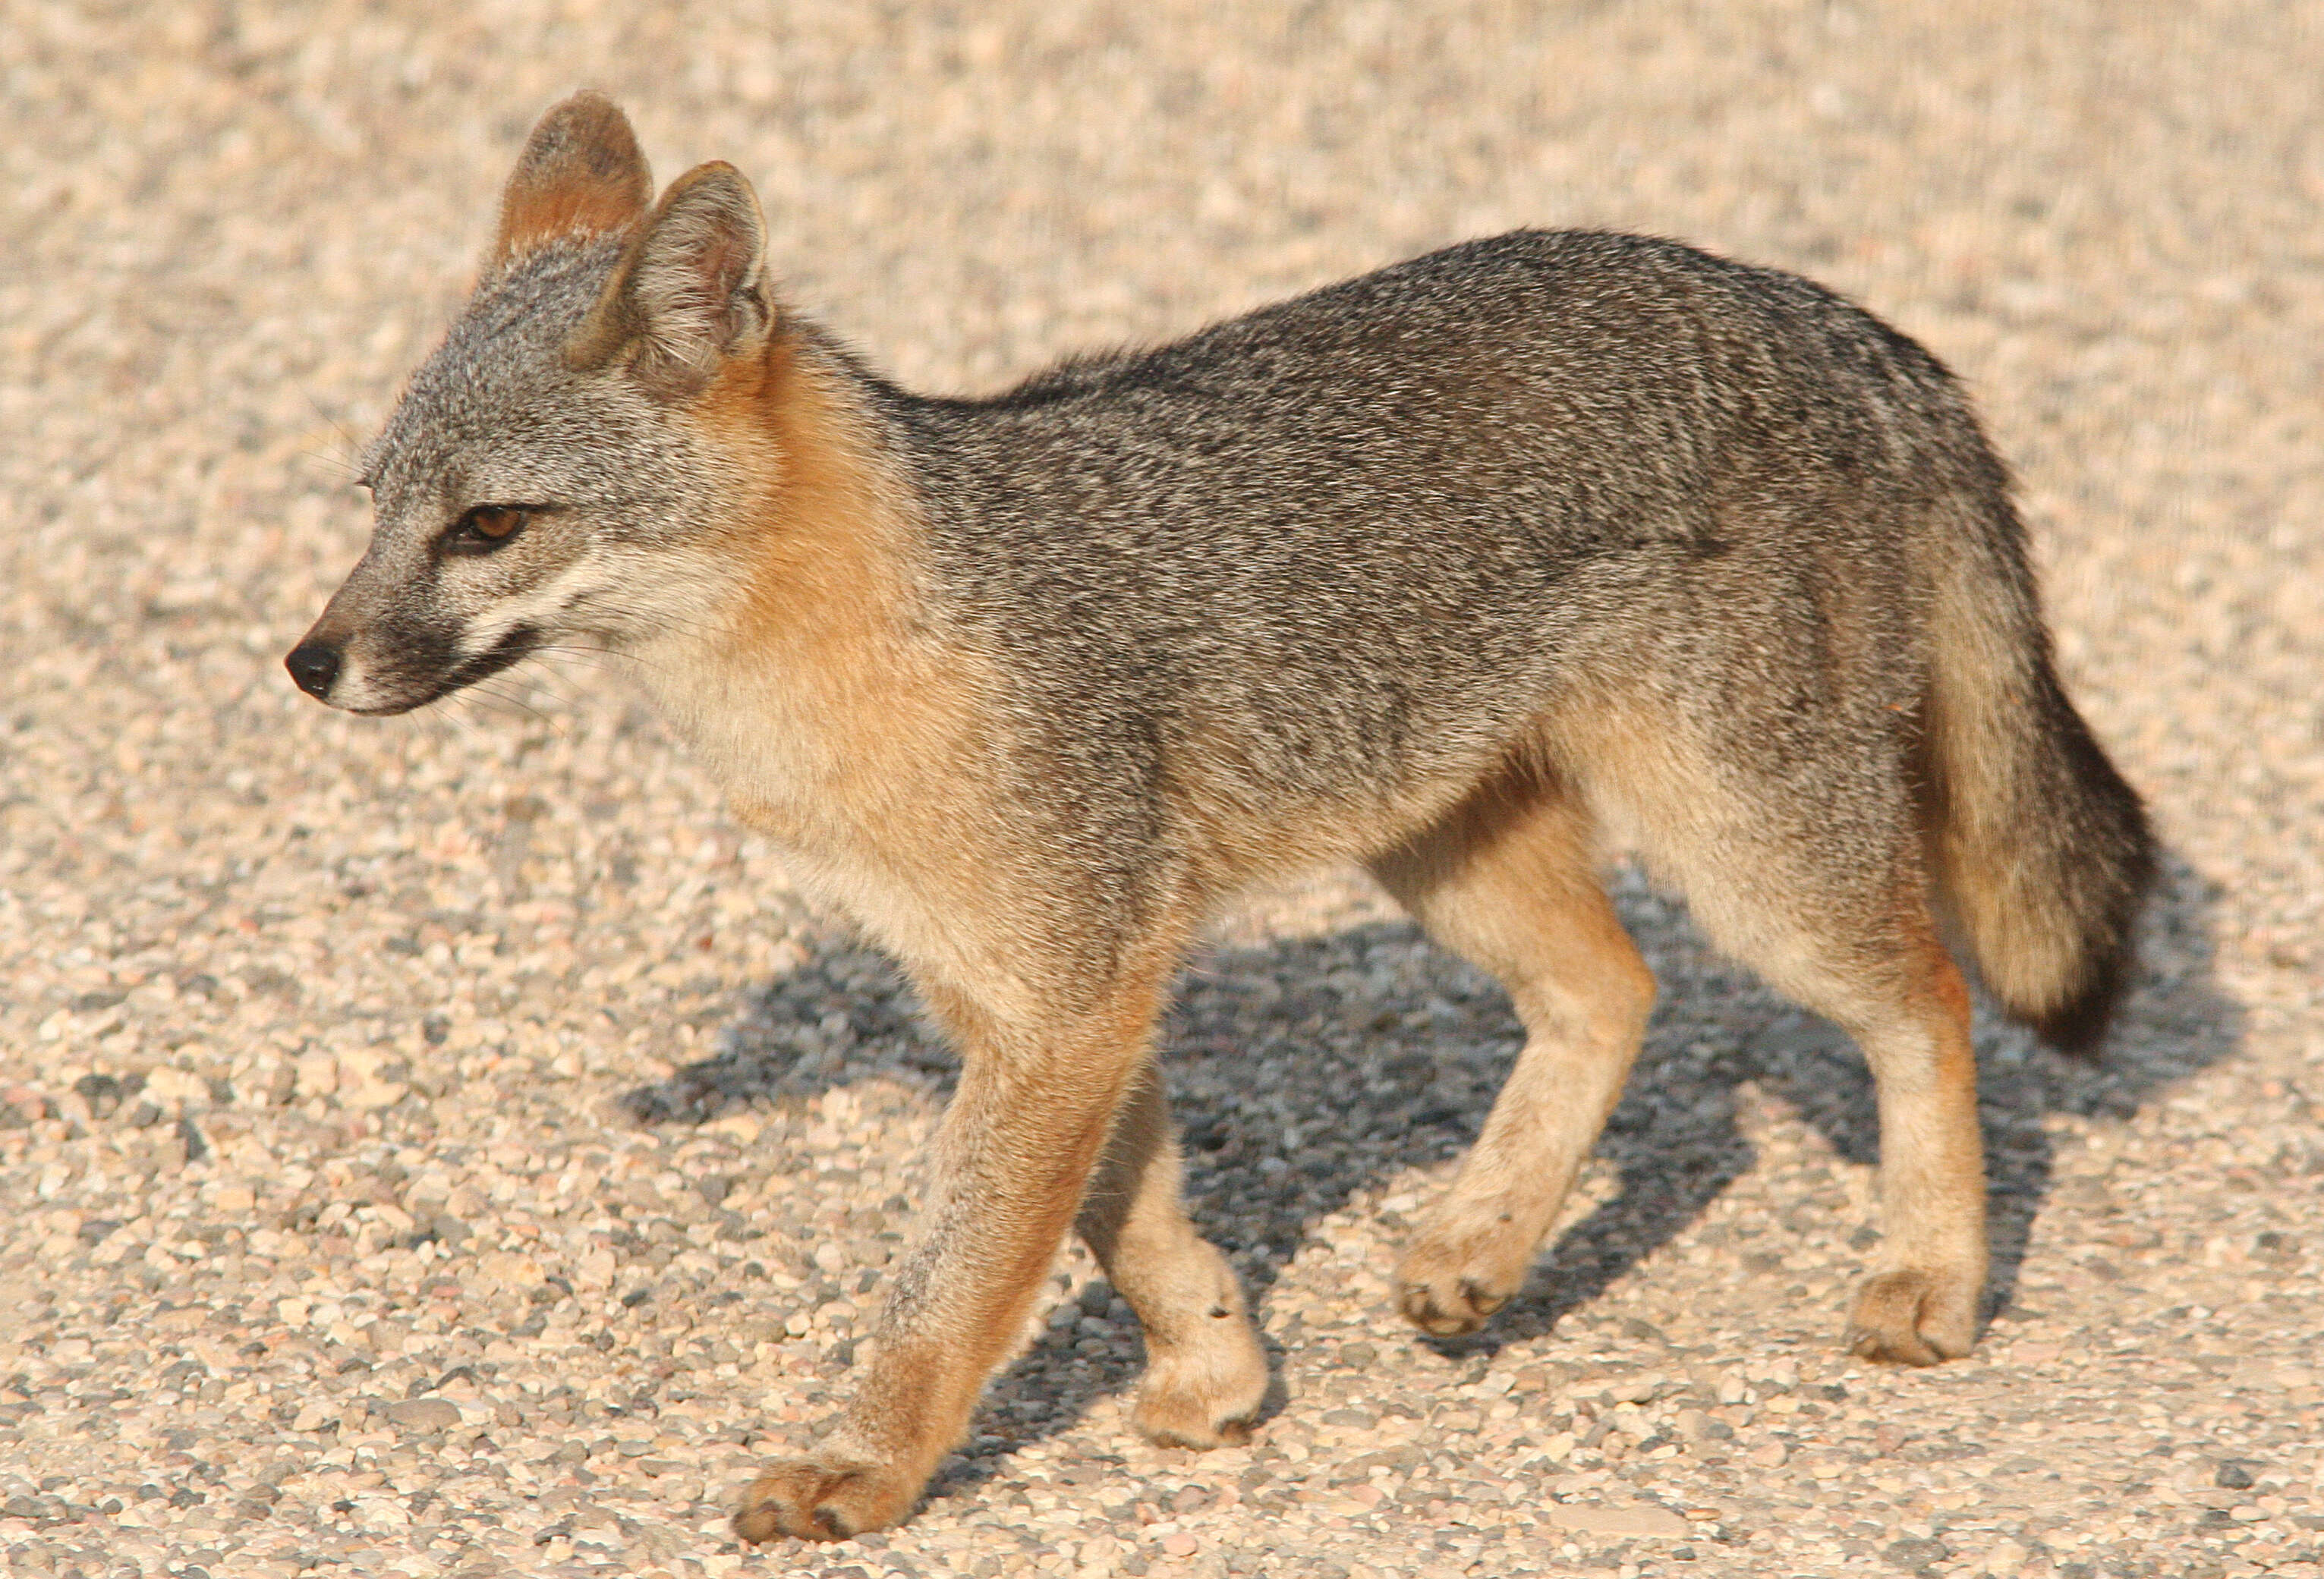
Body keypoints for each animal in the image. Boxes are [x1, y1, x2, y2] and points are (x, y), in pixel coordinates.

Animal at [290, 92, 2156, 1532]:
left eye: (489, 527)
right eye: (373, 508)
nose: (309, 662)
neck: (858, 636)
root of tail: (1824, 310)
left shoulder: (1067, 993)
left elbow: (954, 1277)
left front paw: (865, 1468)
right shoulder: (1037, 997)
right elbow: (1127, 1219)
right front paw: (1216, 1365)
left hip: (1746, 848)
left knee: (1924, 996)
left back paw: (1929, 1273)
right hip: (1439, 837)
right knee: (1610, 989)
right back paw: (1480, 1242)